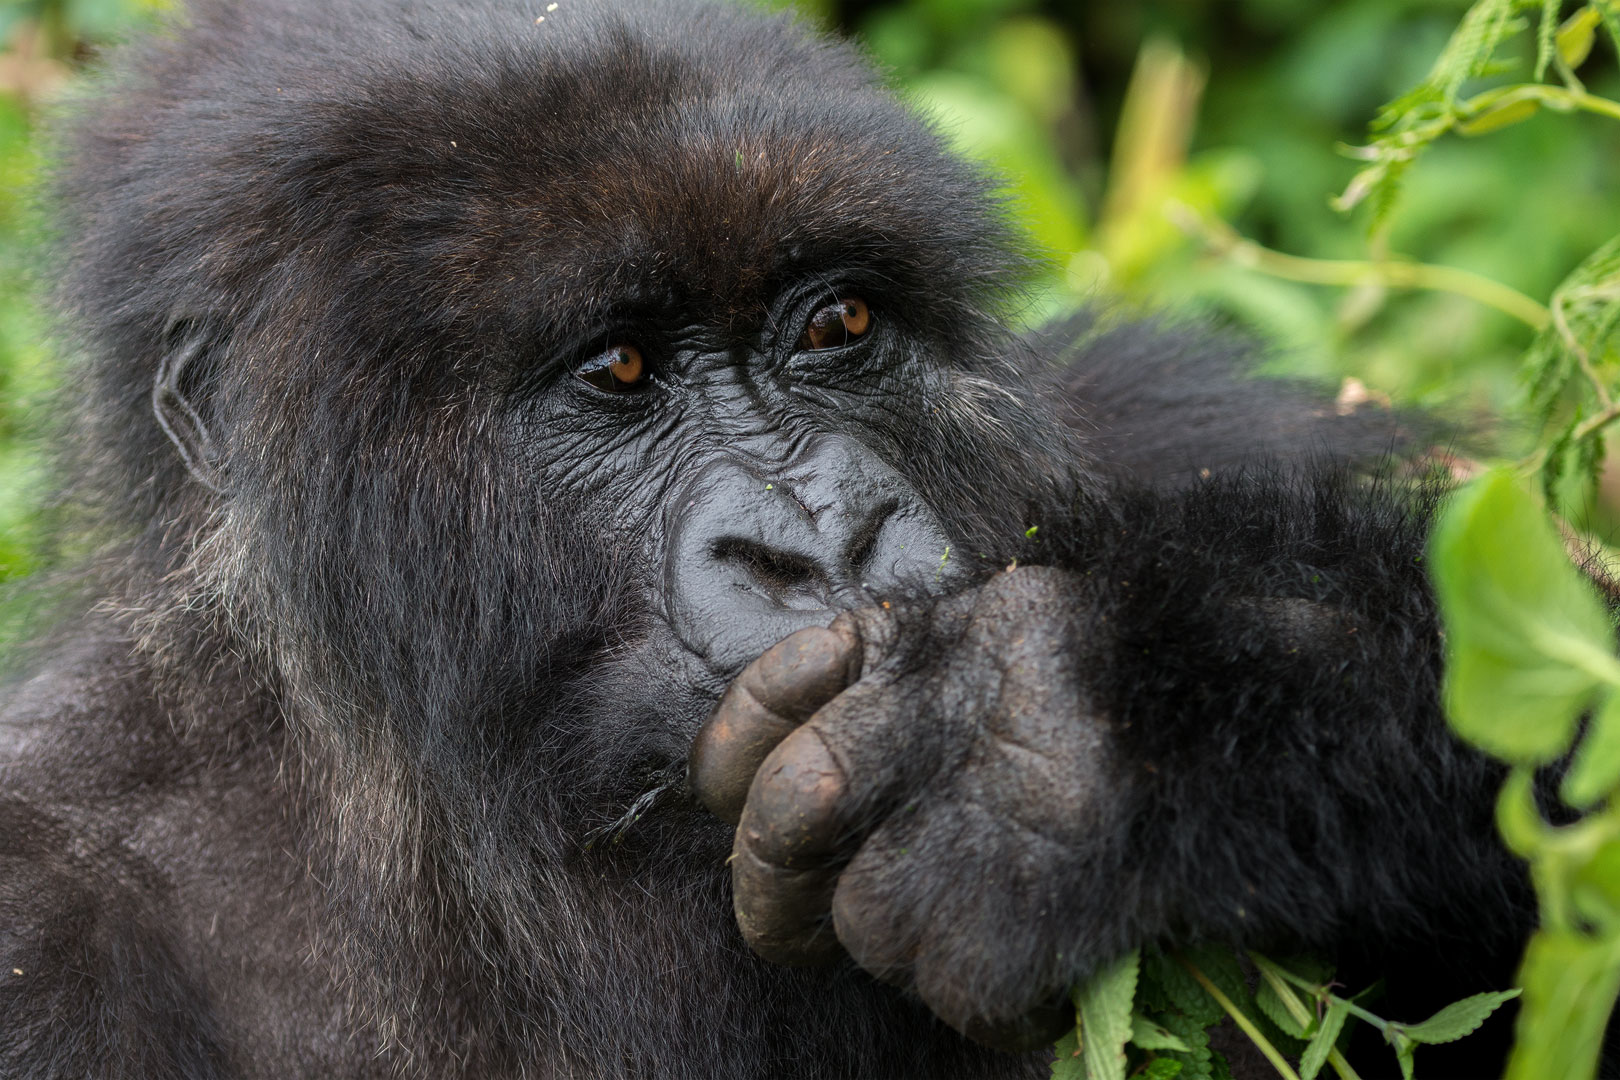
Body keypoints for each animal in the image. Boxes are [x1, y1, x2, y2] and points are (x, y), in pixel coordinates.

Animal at [0, 0, 1535, 1075]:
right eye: (618, 370)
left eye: (836, 324)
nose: (824, 539)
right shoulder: (40, 911)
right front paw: (1041, 736)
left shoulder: (1172, 423)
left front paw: (1062, 736)